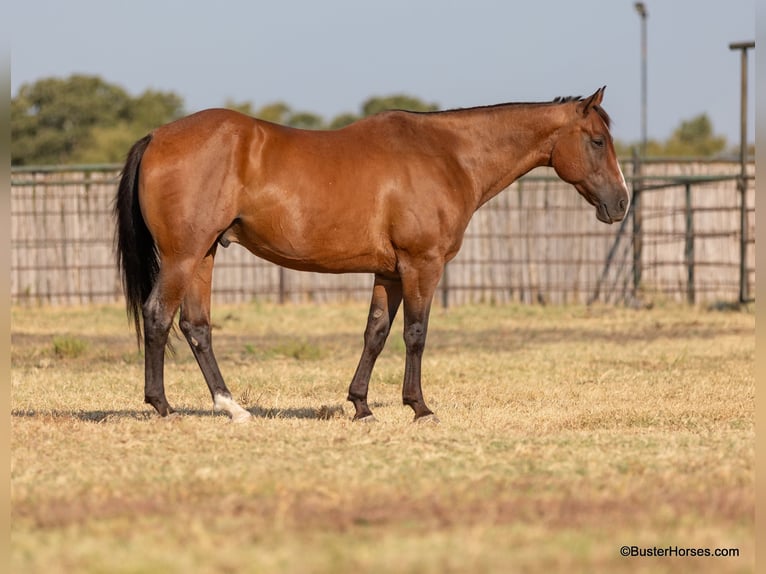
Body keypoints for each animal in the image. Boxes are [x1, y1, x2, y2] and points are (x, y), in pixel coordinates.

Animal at [114, 86, 629, 423]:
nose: (621, 203)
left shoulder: (391, 273)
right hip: (182, 256)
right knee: (159, 316)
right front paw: (420, 407)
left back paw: (231, 407)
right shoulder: (422, 265)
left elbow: (376, 333)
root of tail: (157, 136)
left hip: (203, 255)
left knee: (196, 326)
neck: (448, 155)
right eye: (597, 140)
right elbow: (416, 335)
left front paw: (361, 405)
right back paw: (162, 406)